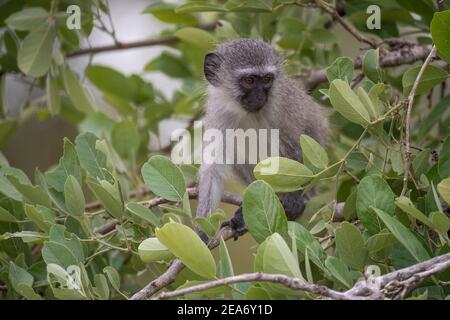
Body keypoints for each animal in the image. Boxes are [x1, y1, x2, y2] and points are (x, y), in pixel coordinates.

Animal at [195, 38, 328, 239]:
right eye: (249, 80)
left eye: (267, 79)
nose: (259, 96)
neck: (247, 113)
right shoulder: (219, 114)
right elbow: (212, 170)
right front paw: (201, 232)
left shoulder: (283, 110)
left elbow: (298, 146)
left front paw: (296, 198)